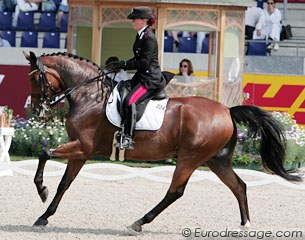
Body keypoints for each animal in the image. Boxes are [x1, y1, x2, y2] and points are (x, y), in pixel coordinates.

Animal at [23, 51, 300, 233]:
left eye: (36, 79)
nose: (36, 110)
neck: (89, 96)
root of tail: (227, 110)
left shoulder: (83, 147)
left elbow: (45, 152)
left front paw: (41, 190)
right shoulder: (81, 151)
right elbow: (64, 184)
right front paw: (44, 215)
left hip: (190, 157)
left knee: (175, 191)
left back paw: (139, 222)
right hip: (216, 160)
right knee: (238, 186)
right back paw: (245, 224)